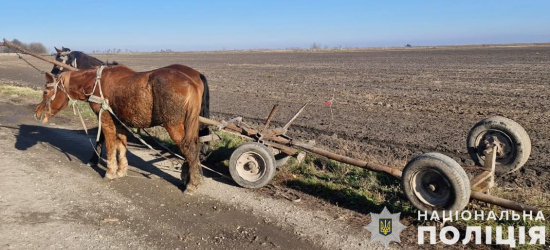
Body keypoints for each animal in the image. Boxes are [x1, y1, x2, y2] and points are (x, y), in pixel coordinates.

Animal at [36, 65, 205, 193]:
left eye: (45, 92)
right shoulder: (120, 122)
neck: (95, 84)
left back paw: (191, 185)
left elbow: (110, 145)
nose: (37, 113)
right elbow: (121, 146)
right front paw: (121, 170)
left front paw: (110, 171)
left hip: (173, 125)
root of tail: (191, 82)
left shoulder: (106, 120)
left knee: (189, 149)